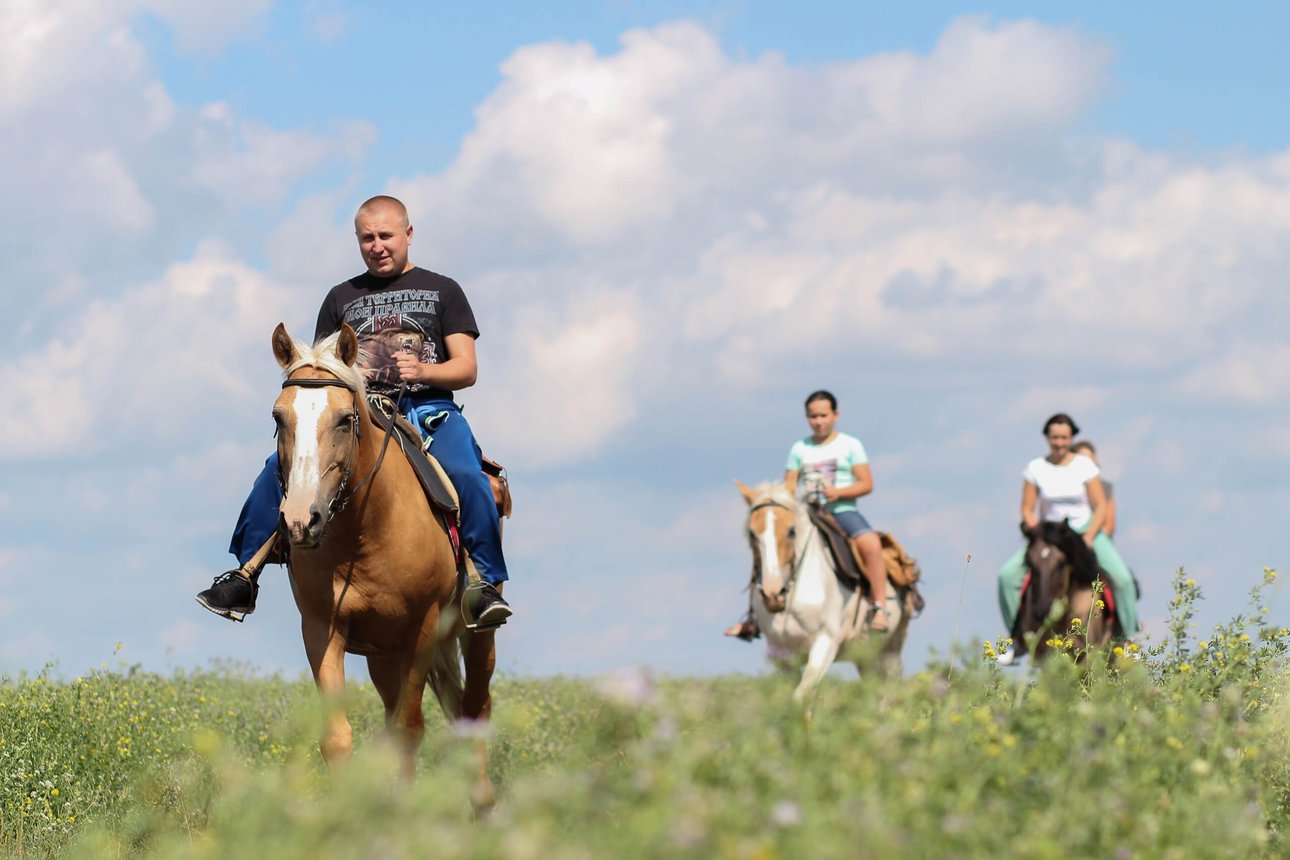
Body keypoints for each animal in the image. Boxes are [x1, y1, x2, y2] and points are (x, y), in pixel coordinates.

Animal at [269, 322, 495, 809]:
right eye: (279, 418)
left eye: (344, 419)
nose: (300, 520)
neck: (365, 530)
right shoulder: (322, 628)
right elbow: (339, 737)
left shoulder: (423, 629)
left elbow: (411, 730)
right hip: (383, 656)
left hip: (474, 635)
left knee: (474, 708)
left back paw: (483, 801)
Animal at [732, 482, 913, 701]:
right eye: (751, 533)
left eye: (792, 531)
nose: (772, 593)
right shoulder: (783, 655)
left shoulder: (825, 642)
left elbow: (801, 695)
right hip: (864, 654)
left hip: (892, 646)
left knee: (889, 690)